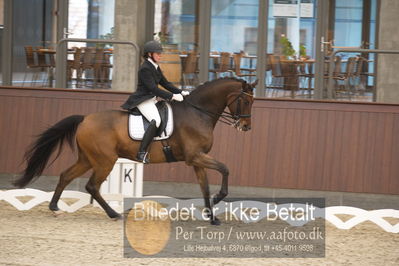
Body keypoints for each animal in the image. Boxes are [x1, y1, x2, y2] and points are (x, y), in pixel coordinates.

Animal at [12, 77, 258, 224]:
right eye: (246, 101)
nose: (246, 127)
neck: (198, 112)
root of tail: (84, 119)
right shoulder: (195, 157)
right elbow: (225, 169)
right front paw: (219, 198)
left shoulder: (197, 160)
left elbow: (204, 187)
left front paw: (211, 215)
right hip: (105, 161)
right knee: (92, 186)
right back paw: (114, 214)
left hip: (88, 159)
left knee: (66, 176)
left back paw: (54, 207)